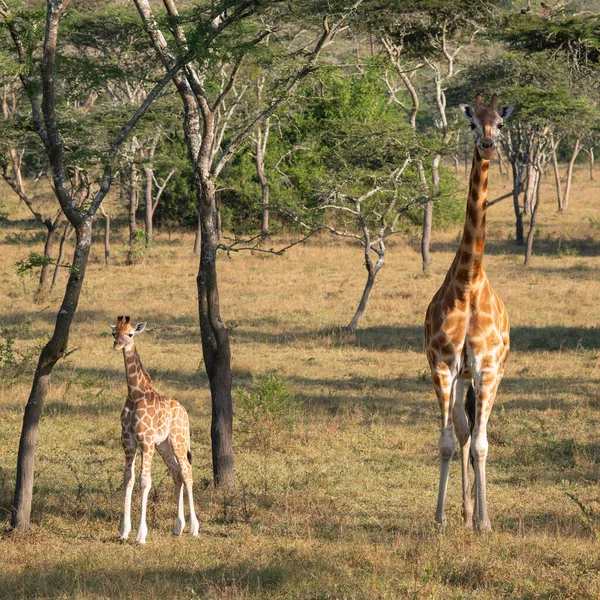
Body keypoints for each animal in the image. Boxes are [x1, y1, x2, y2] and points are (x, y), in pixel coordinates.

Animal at [110, 316, 199, 548]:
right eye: (114, 333)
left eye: (130, 334)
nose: (117, 345)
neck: (135, 395)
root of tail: (185, 411)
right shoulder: (128, 443)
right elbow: (128, 479)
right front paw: (124, 531)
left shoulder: (146, 441)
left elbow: (145, 481)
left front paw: (141, 535)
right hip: (164, 445)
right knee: (176, 472)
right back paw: (178, 527)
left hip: (177, 439)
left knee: (187, 471)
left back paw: (194, 527)